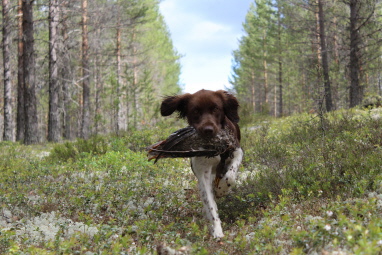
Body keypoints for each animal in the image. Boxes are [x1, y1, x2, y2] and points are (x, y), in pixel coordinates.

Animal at [160, 88, 243, 238]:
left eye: (216, 108)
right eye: (195, 111)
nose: (208, 130)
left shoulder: (237, 151)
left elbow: (230, 177)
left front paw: (222, 189)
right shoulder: (202, 171)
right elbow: (209, 203)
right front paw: (217, 231)